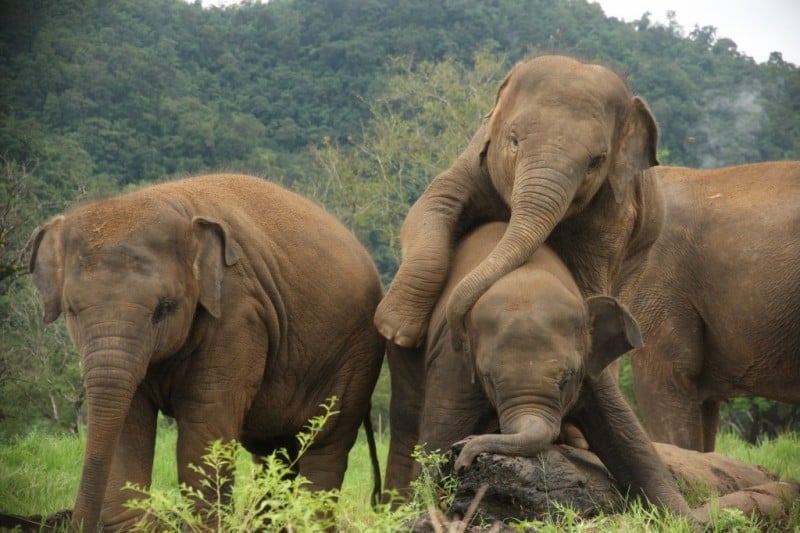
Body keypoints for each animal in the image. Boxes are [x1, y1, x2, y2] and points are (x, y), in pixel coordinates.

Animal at [32, 174, 390, 528]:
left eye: (164, 308)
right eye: (71, 310)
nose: (73, 522)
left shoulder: (239, 314)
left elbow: (205, 417)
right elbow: (129, 418)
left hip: (355, 356)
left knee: (325, 444)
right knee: (274, 451)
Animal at [376, 54, 664, 354]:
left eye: (596, 162)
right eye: (513, 141)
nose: (459, 338)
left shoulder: (614, 212)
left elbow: (589, 279)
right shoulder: (476, 158)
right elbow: (435, 202)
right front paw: (395, 331)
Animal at [384, 221, 692, 516]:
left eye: (567, 378)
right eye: (488, 379)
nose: (463, 458)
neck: (526, 276)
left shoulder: (592, 370)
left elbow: (628, 438)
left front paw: (683, 516)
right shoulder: (453, 364)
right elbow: (438, 438)